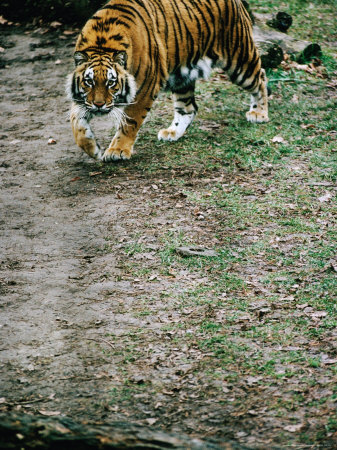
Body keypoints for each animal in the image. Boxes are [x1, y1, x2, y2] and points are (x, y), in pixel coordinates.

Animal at [67, 0, 270, 162]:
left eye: (111, 83)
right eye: (89, 82)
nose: (99, 105)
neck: (101, 43)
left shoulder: (145, 89)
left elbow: (129, 122)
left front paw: (117, 150)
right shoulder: (84, 99)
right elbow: (76, 123)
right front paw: (93, 149)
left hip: (239, 61)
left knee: (261, 76)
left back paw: (259, 113)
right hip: (182, 76)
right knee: (188, 108)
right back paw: (172, 132)